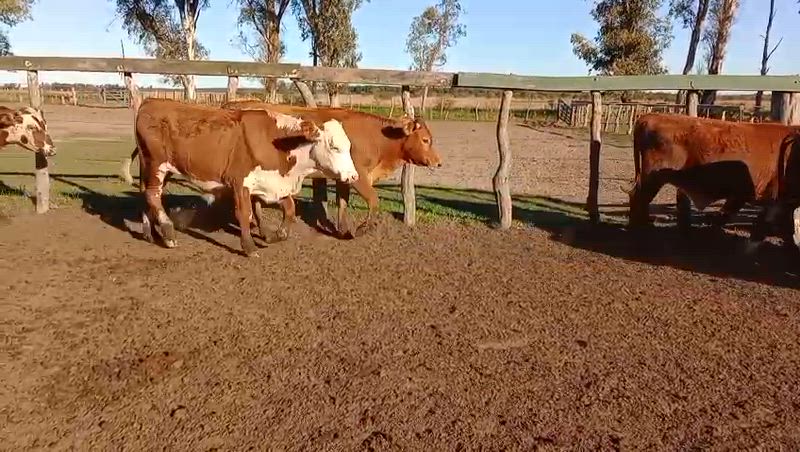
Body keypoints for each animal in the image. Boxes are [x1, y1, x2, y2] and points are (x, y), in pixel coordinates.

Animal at [121, 100, 443, 238]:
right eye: (426, 139)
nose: (438, 162)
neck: (374, 136)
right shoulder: (360, 176)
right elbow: (373, 202)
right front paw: (362, 229)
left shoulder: (344, 177)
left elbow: (341, 204)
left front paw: (342, 228)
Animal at [133, 98, 358, 257]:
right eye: (334, 146)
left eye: (349, 146)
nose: (353, 176)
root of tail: (149, 102)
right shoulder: (240, 182)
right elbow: (245, 213)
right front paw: (249, 247)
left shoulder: (271, 183)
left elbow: (290, 209)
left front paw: (276, 235)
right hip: (156, 165)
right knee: (153, 195)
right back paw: (168, 233)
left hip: (161, 169)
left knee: (147, 196)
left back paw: (151, 233)